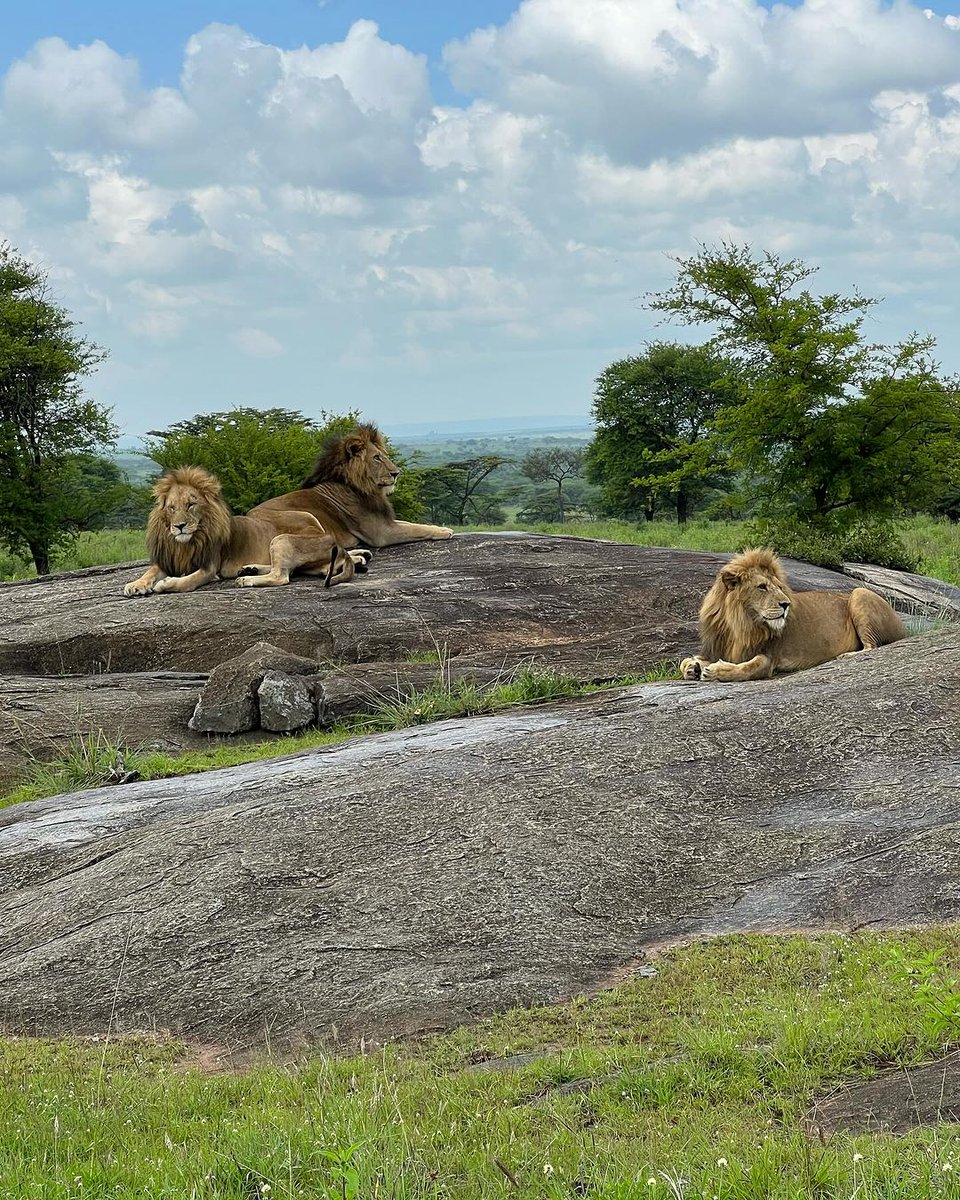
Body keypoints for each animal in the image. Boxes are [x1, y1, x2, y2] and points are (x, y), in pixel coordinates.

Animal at [123, 468, 372, 600]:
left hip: (287, 533)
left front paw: (166, 584)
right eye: (171, 508)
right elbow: (150, 571)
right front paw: (135, 584)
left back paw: (246, 578)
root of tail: (331, 541)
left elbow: (187, 582)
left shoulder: (209, 567)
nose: (179, 526)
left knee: (281, 576)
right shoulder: (168, 559)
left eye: (191, 505)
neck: (187, 542)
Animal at [249, 422, 456, 549]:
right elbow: (416, 529)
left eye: (384, 456)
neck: (364, 488)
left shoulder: (385, 522)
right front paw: (444, 531)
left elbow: (414, 524)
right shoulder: (382, 533)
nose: (396, 473)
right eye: (376, 458)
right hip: (304, 516)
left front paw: (438, 526)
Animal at [676, 547, 902, 686]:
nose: (786, 604)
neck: (739, 624)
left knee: (872, 646)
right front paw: (692, 668)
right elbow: (684, 661)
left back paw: (845, 656)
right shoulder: (716, 647)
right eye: (762, 587)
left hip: (859, 593)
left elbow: (748, 668)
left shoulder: (768, 657)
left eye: (779, 587)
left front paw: (714, 671)